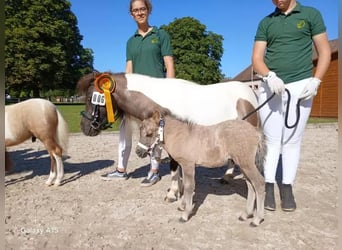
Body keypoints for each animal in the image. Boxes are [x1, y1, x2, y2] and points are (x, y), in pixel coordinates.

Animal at [77, 71, 260, 200]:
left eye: (90, 97)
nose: (85, 127)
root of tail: (250, 93)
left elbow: (173, 167)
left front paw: (172, 194)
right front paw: (178, 190)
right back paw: (226, 177)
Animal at [136, 110, 268, 226]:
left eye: (149, 133)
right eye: (140, 131)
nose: (138, 152)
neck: (181, 136)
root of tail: (255, 131)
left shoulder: (188, 165)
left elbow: (189, 187)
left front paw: (185, 215)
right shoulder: (184, 165)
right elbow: (186, 185)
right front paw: (182, 206)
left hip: (247, 164)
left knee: (259, 183)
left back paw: (256, 219)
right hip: (242, 165)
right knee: (251, 185)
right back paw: (246, 215)